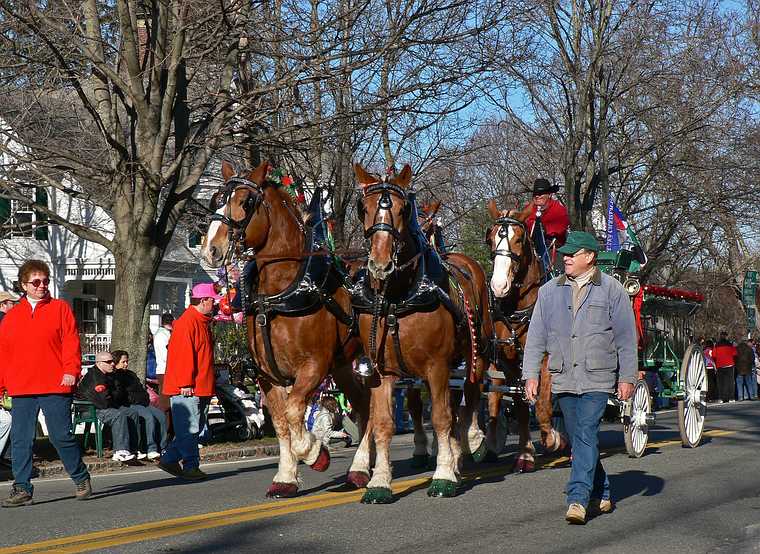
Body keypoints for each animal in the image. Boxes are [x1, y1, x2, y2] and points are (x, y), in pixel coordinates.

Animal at [202, 160, 368, 496]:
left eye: (246, 202)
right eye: (216, 199)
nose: (211, 249)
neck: (279, 295)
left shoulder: (314, 367)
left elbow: (294, 413)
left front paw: (316, 453)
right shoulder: (268, 376)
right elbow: (280, 422)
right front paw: (286, 477)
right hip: (344, 366)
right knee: (363, 406)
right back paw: (358, 471)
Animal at [348, 163, 486, 500]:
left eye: (401, 209)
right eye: (364, 208)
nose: (380, 265)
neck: (398, 297)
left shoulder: (437, 366)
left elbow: (441, 417)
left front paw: (444, 474)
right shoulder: (382, 370)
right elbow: (383, 422)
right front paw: (379, 481)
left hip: (476, 352)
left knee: (472, 392)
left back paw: (472, 442)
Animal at [486, 198, 564, 470]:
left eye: (519, 239)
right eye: (489, 238)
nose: (499, 286)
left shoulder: (547, 359)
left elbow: (542, 404)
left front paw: (553, 439)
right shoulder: (510, 363)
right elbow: (520, 405)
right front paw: (526, 453)